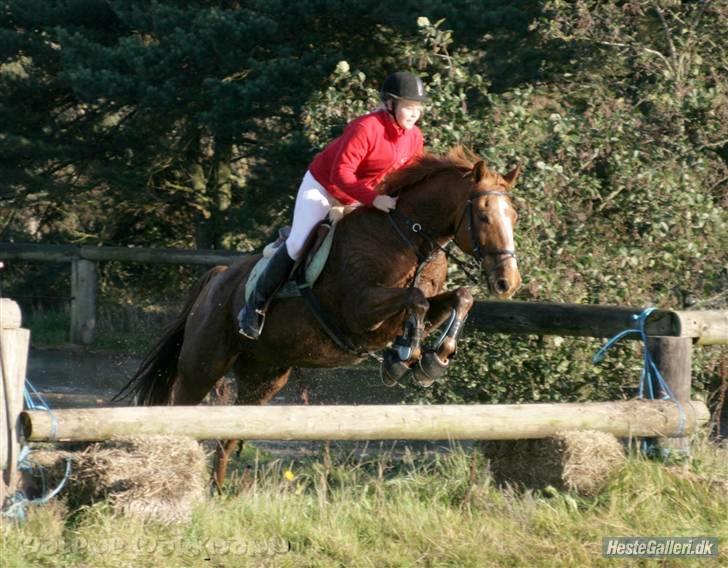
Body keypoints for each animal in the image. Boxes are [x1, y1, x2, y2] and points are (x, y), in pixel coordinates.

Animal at [116, 145, 520, 484]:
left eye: (513, 215)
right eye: (484, 215)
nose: (508, 282)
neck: (409, 238)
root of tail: (216, 277)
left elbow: (458, 298)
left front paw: (432, 358)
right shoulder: (359, 311)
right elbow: (415, 298)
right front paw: (405, 356)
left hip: (263, 379)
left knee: (227, 438)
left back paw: (217, 494)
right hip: (201, 367)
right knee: (179, 414)